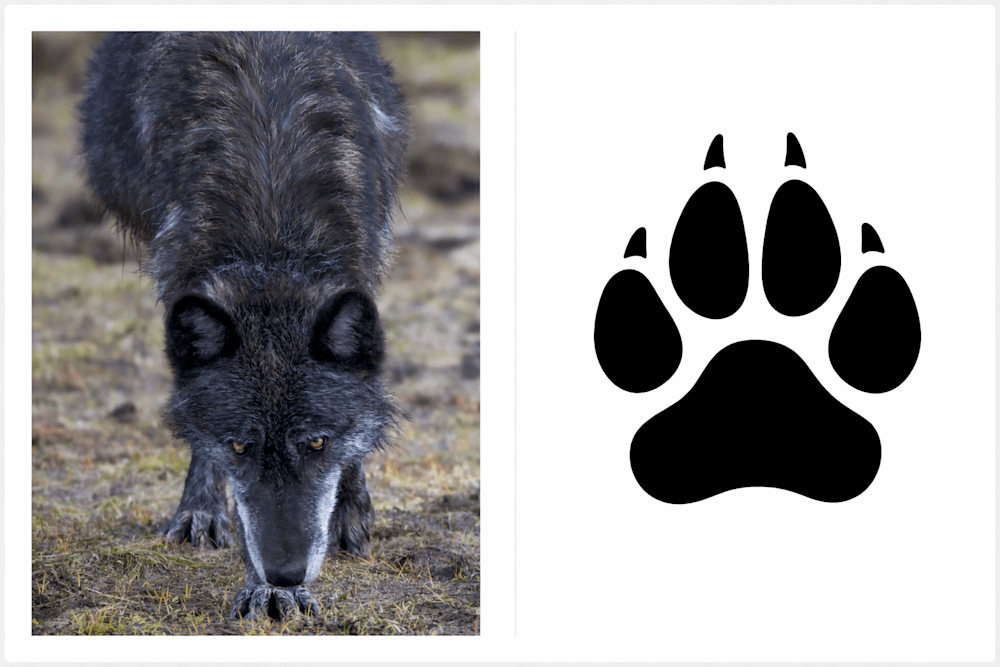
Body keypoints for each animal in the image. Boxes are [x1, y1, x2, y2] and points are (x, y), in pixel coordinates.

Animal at [79, 32, 408, 620]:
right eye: (238, 447)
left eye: (316, 443)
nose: (286, 572)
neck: (272, 233)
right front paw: (266, 587)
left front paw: (349, 514)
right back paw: (202, 512)